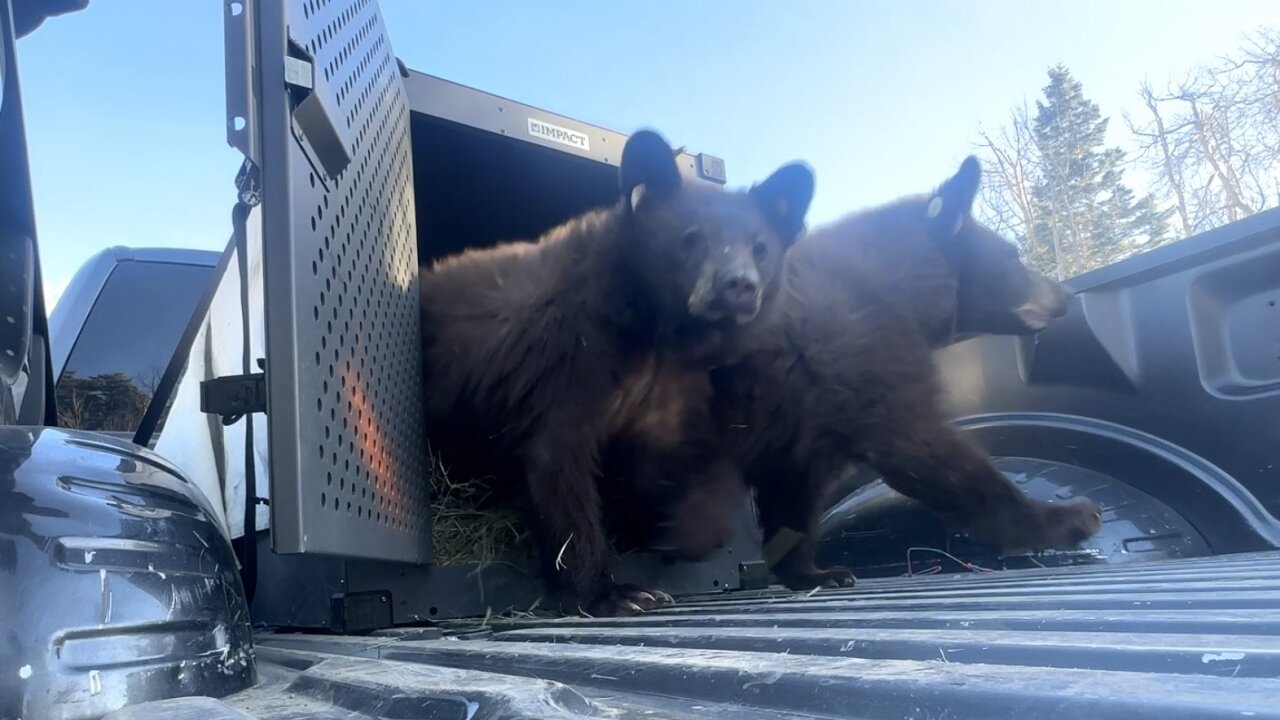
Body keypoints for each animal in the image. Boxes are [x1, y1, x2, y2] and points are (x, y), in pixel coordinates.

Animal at [418, 129, 814, 615]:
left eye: (760, 248)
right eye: (691, 238)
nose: (738, 285)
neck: (657, 331)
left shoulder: (672, 387)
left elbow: (676, 457)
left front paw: (685, 532)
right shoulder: (567, 357)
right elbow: (560, 463)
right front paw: (615, 592)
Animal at [703, 155, 1103, 590]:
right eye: (1013, 255)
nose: (1065, 295)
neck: (897, 284)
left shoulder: (804, 415)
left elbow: (794, 490)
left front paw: (815, 572)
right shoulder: (859, 362)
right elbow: (924, 448)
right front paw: (1067, 518)